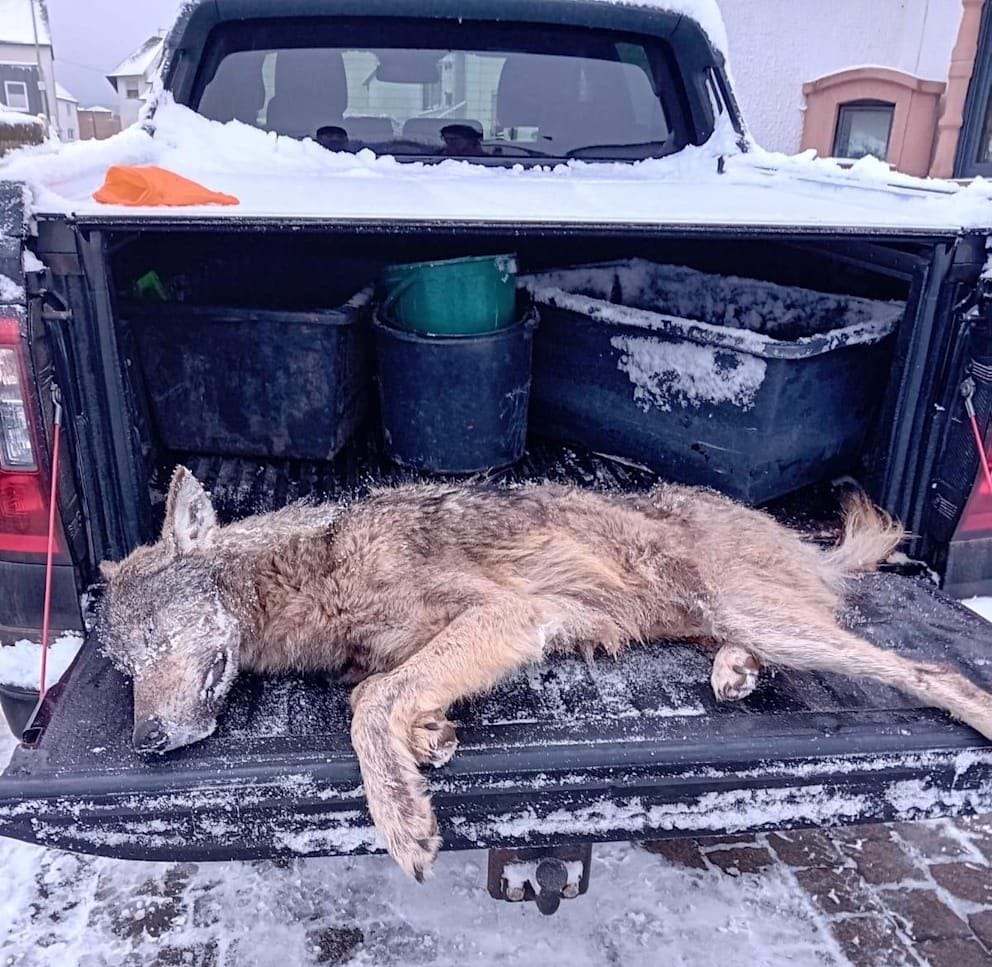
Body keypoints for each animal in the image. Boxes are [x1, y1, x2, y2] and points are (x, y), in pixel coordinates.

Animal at [98, 467, 992, 879]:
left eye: (154, 640)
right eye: (124, 664)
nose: (144, 744)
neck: (312, 574)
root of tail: (795, 536)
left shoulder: (508, 615)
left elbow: (367, 700)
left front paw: (400, 817)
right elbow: (389, 691)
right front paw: (430, 740)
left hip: (777, 620)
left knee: (934, 670)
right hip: (726, 618)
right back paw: (735, 670)